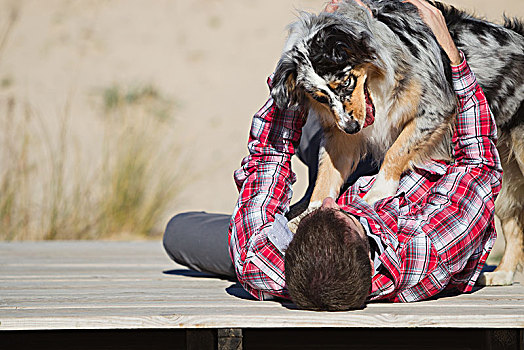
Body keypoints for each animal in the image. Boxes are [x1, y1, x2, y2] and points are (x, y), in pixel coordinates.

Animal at [270, 0, 524, 288]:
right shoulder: (341, 138)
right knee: (513, 222)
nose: (351, 127)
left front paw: (377, 192)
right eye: (320, 97)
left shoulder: (435, 108)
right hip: (503, 172)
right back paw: (502, 273)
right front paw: (309, 213)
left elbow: (396, 151)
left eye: (346, 82)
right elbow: (326, 177)